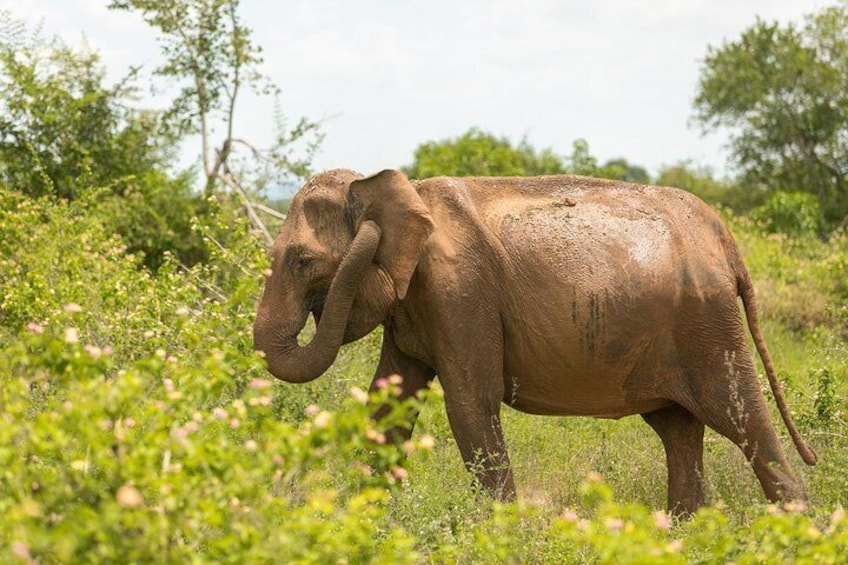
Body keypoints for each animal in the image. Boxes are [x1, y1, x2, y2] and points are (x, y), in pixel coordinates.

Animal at [253, 167, 816, 516]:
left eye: (302, 261)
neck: (387, 185)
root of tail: (726, 240)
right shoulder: (418, 304)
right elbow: (389, 402)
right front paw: (367, 518)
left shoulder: (460, 294)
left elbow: (469, 403)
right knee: (679, 431)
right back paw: (684, 533)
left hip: (708, 324)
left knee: (742, 419)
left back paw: (797, 529)